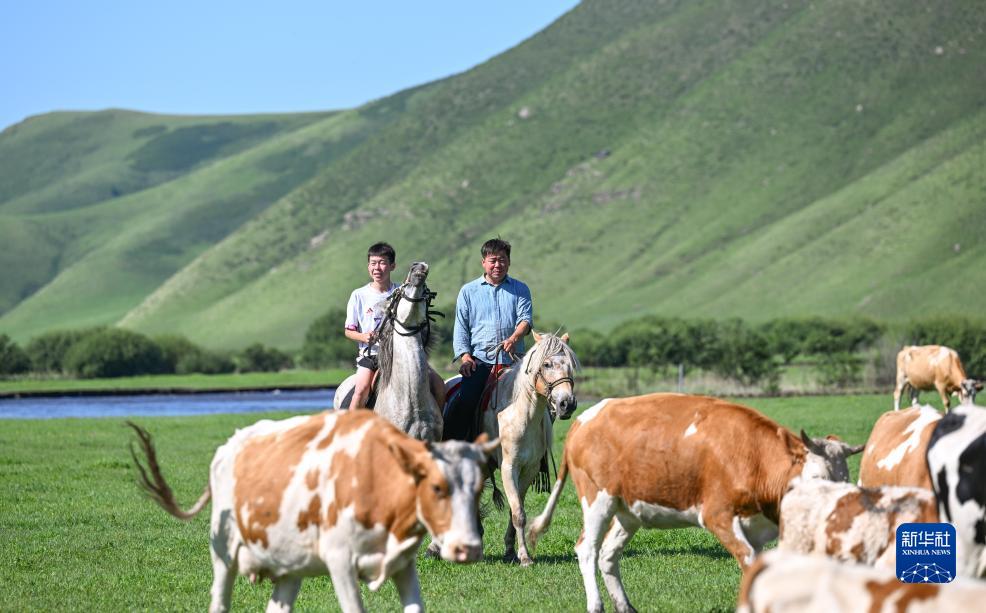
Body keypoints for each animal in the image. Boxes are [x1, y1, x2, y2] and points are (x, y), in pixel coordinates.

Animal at [129, 408, 500, 613]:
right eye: (436, 487)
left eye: (477, 487)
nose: (468, 548)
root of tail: (230, 444)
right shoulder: (340, 561)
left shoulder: (403, 564)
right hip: (223, 551)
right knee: (219, 600)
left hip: (289, 565)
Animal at [524, 392, 860, 612]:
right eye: (816, 477)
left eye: (845, 480)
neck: (756, 459)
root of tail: (583, 419)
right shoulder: (718, 516)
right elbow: (750, 563)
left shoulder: (755, 527)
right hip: (598, 500)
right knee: (587, 550)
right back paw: (596, 605)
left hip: (627, 510)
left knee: (608, 554)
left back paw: (626, 607)